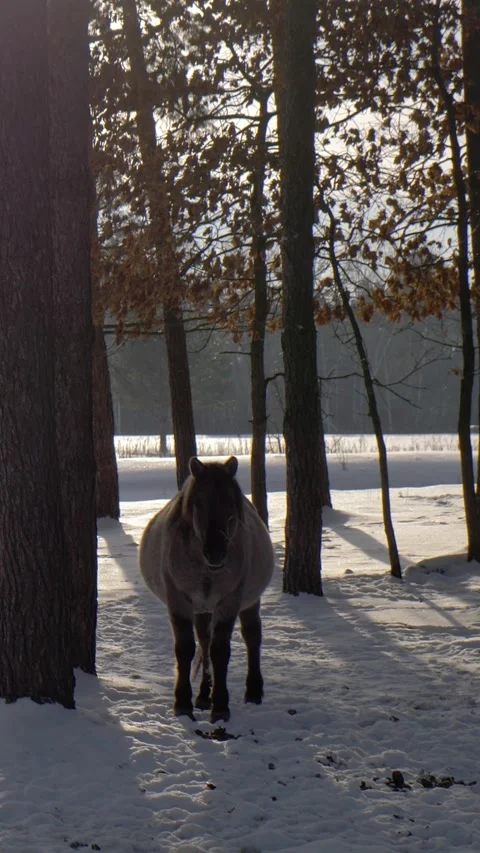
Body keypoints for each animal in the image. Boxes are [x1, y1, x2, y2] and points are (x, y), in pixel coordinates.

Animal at [139, 455, 274, 723]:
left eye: (231, 502)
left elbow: (220, 651)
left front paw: (220, 706)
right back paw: (202, 695)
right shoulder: (179, 601)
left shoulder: (229, 602)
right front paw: (183, 703)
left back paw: (253, 691)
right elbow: (186, 649)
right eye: (198, 503)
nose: (215, 553)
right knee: (204, 642)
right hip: (202, 610)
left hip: (248, 603)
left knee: (252, 637)